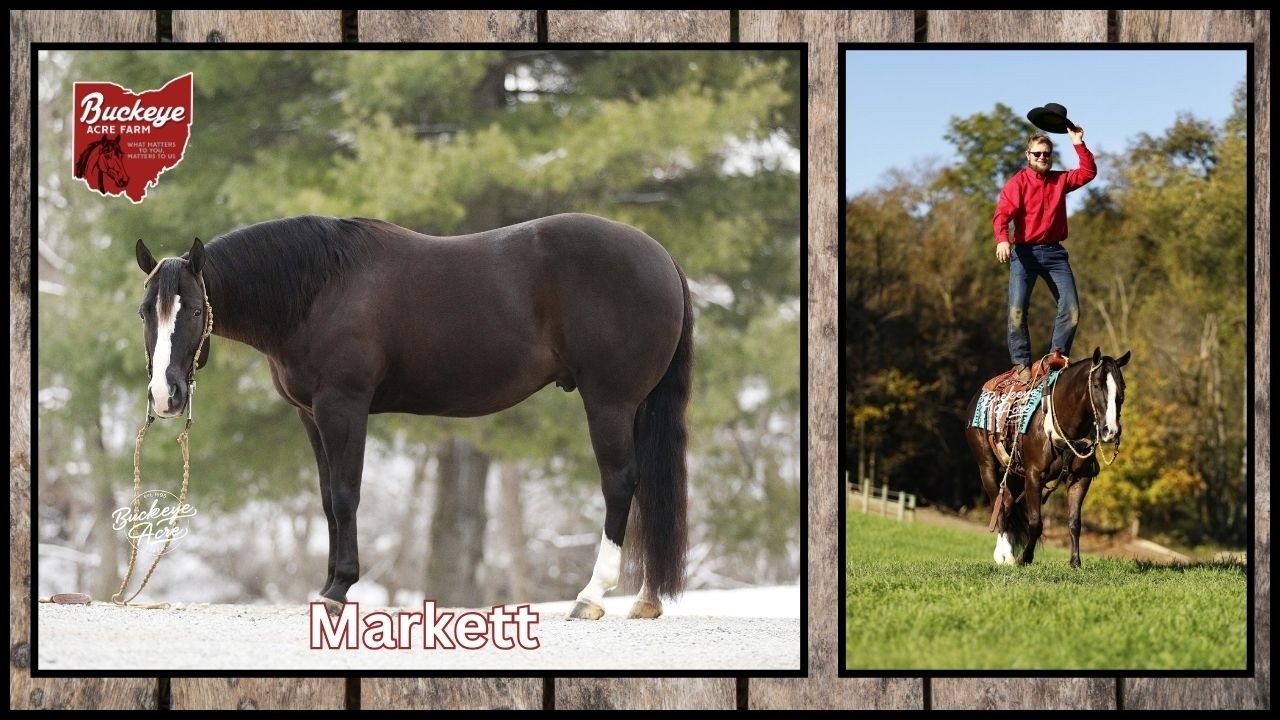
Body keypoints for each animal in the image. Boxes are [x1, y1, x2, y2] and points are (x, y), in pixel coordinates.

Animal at [133, 213, 693, 620]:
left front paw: (339, 590)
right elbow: (327, 499)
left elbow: (345, 496)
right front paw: (327, 584)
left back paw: (591, 595)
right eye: (144, 312)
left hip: (610, 402)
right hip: (636, 406)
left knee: (620, 484)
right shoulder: (311, 416)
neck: (317, 290)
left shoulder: (343, 406)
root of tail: (662, 255)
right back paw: (646, 599)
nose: (165, 395)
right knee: (647, 488)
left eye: (194, 310)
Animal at [964, 347, 1130, 568]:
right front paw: (1025, 558)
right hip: (987, 467)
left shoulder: (1080, 478)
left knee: (1008, 502)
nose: (1111, 430)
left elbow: (1074, 522)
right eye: (1096, 385)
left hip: (1014, 473)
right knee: (1000, 506)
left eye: (1122, 387)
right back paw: (1004, 555)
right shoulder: (1034, 476)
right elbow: (1035, 523)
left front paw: (1075, 562)